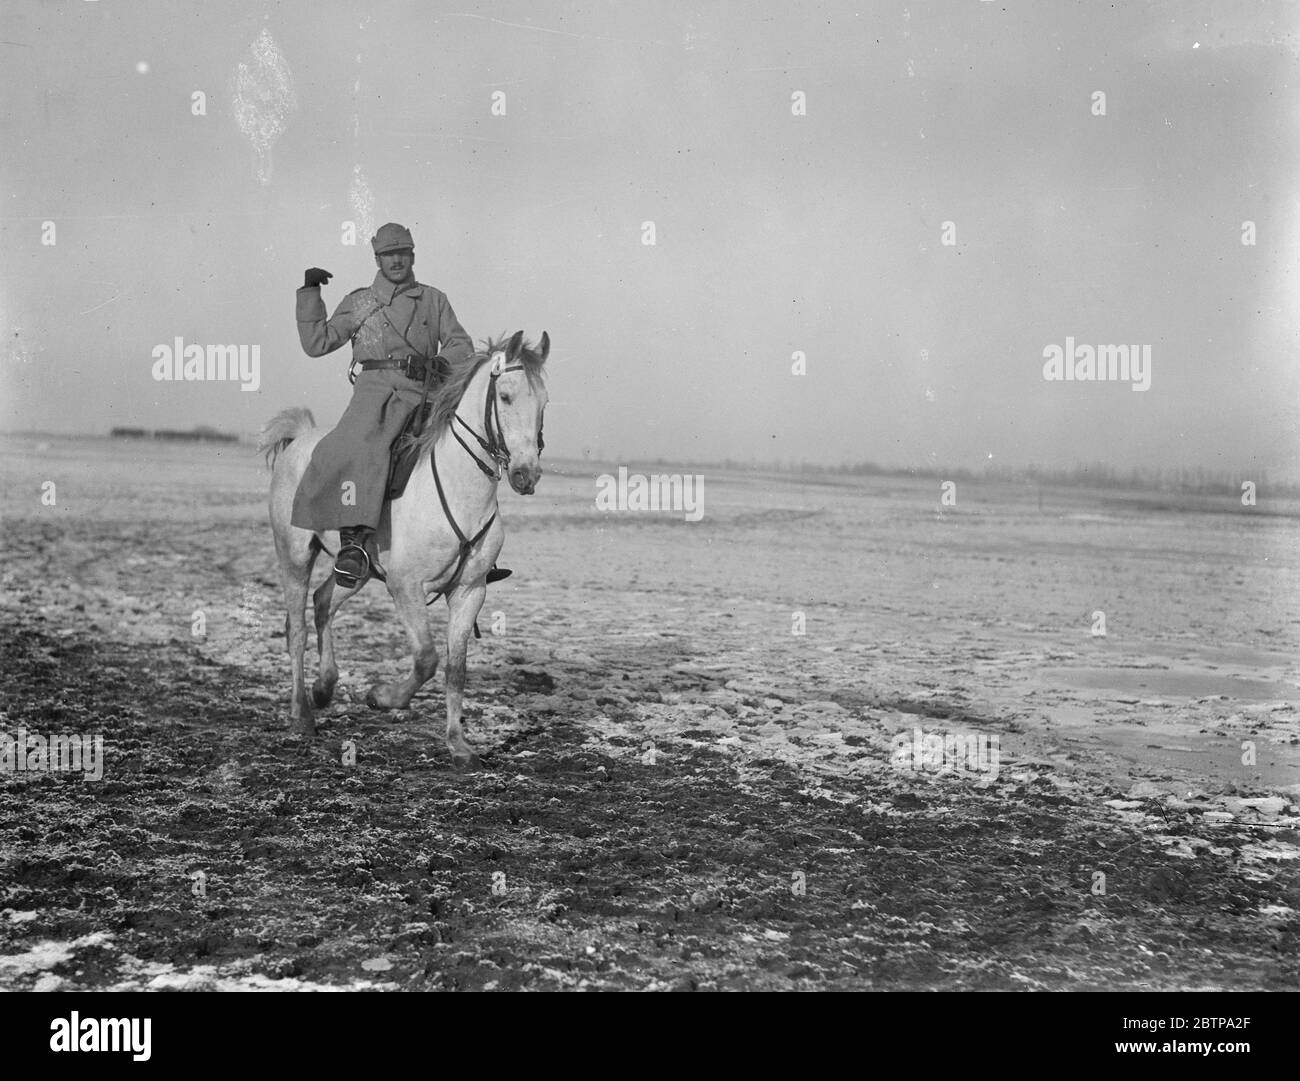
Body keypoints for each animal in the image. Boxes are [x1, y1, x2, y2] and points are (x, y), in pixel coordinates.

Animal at [258, 331, 548, 769]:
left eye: (544, 402)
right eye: (506, 396)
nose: (525, 475)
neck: (458, 488)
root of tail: (301, 439)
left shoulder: (470, 591)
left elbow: (456, 669)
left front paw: (458, 744)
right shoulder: (406, 587)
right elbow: (427, 658)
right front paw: (383, 697)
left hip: (355, 571)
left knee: (323, 601)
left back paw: (324, 689)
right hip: (294, 556)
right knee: (297, 629)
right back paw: (301, 714)